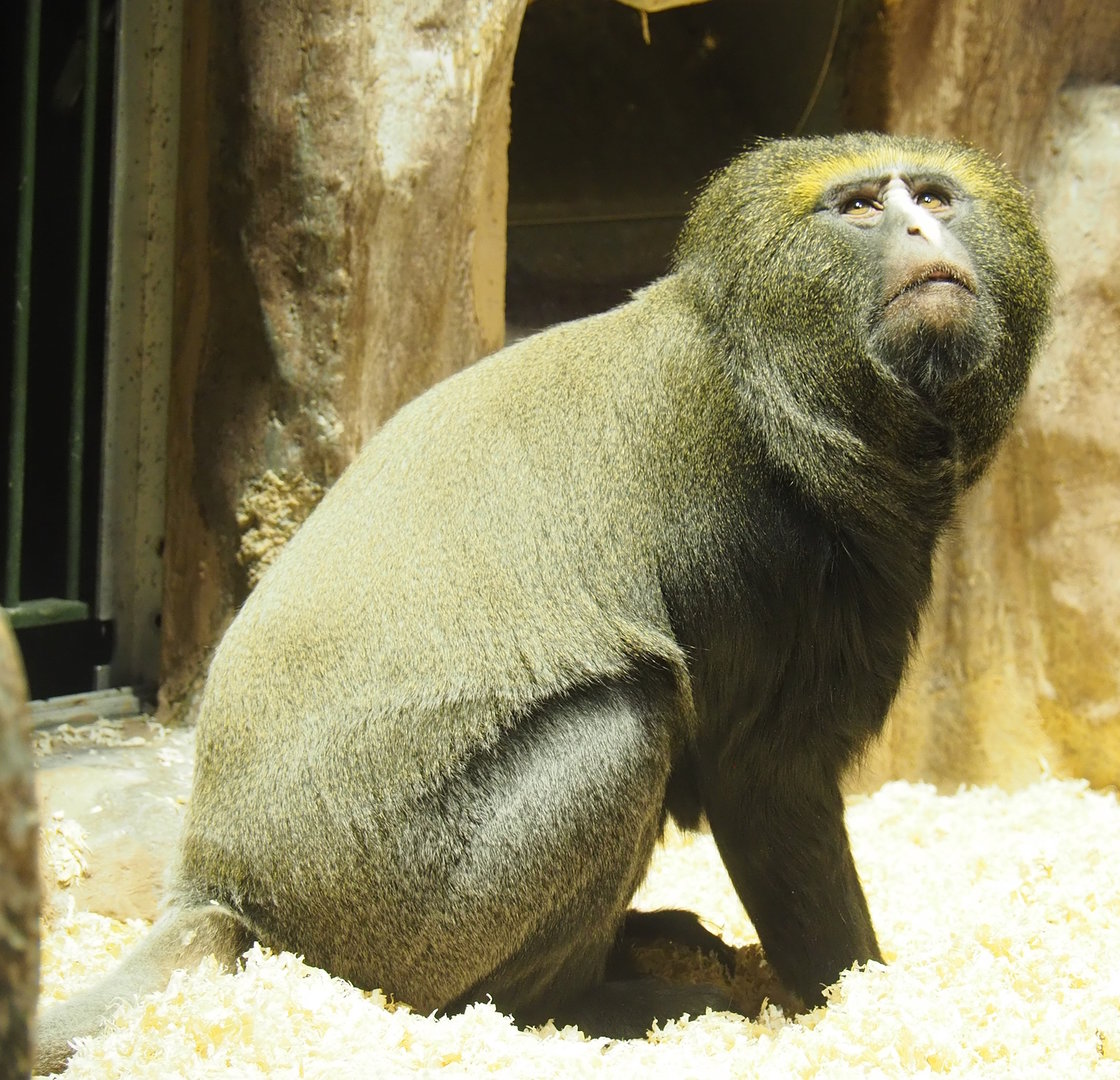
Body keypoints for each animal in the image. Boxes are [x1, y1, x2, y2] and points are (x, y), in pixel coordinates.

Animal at [35, 133, 1053, 1072]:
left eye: (932, 197)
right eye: (861, 209)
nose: (920, 231)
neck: (771, 375)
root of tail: (224, 883)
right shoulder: (763, 554)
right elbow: (765, 782)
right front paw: (859, 995)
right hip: (417, 914)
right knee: (623, 724)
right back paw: (582, 1004)